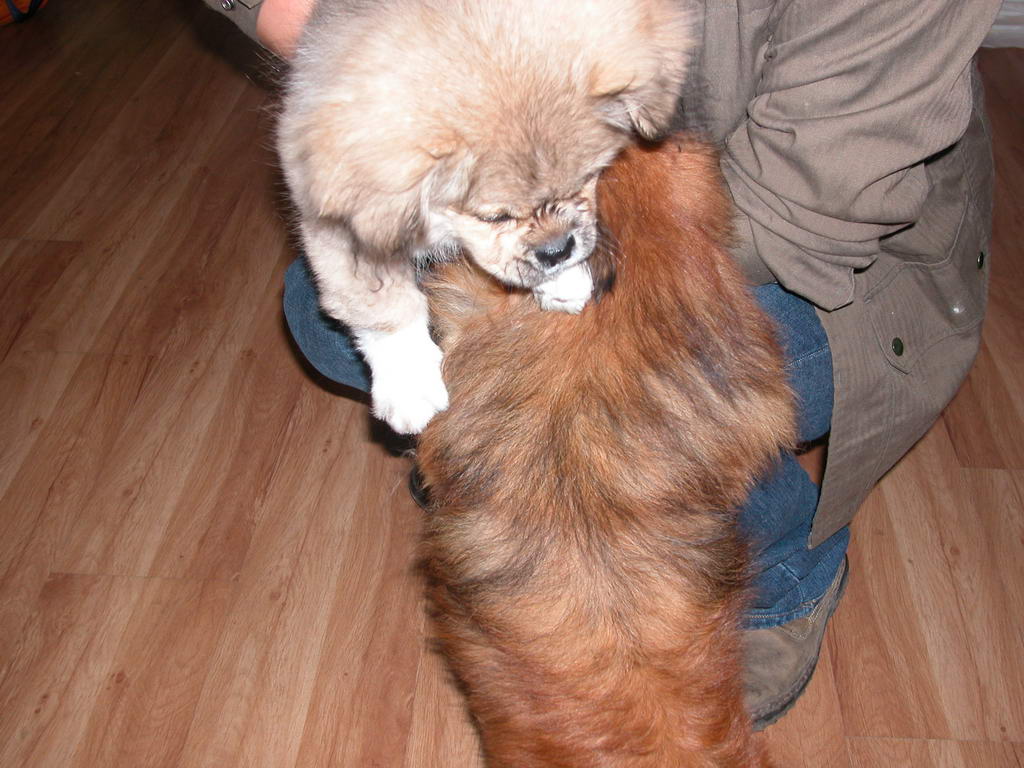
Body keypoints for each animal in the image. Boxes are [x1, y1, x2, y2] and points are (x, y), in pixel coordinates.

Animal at [277, 0, 694, 434]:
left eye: (586, 179)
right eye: (495, 217)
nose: (557, 251)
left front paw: (563, 279)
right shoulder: (341, 230)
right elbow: (383, 305)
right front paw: (409, 383)